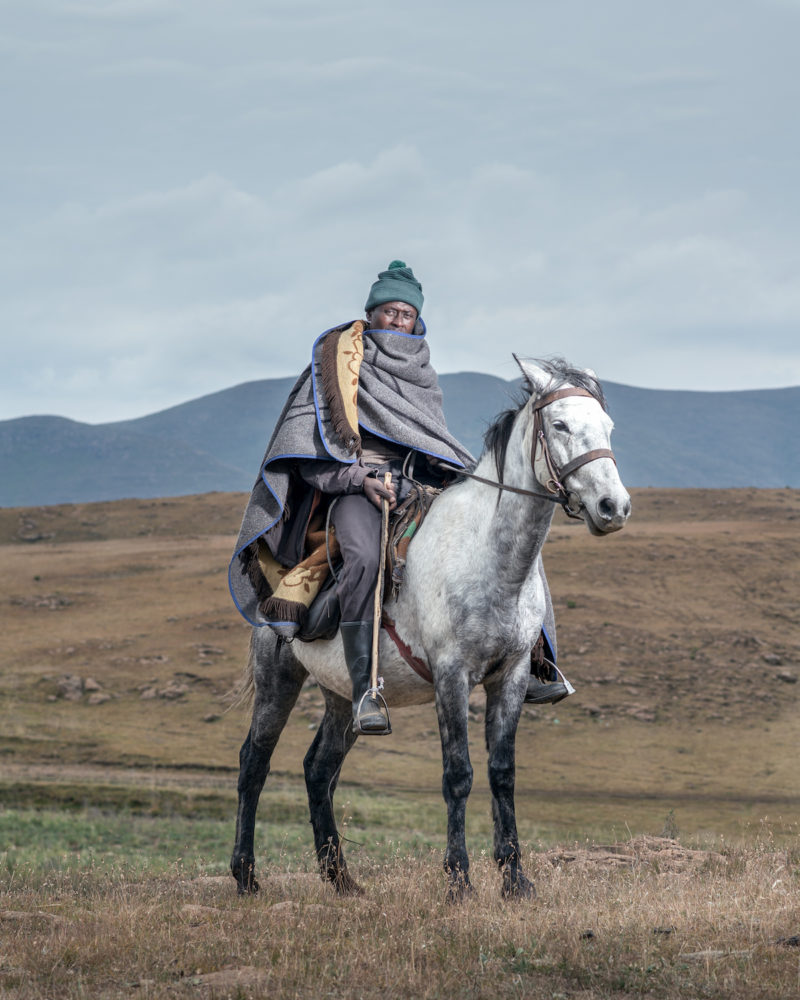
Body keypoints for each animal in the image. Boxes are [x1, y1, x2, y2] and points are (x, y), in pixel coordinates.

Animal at [230, 358, 632, 900]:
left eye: (607, 427)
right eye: (560, 424)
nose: (614, 507)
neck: (488, 558)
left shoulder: (510, 677)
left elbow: (502, 774)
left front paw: (515, 879)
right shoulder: (452, 676)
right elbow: (457, 774)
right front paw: (459, 880)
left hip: (342, 694)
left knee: (318, 769)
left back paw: (342, 880)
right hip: (279, 678)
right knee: (254, 763)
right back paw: (246, 875)